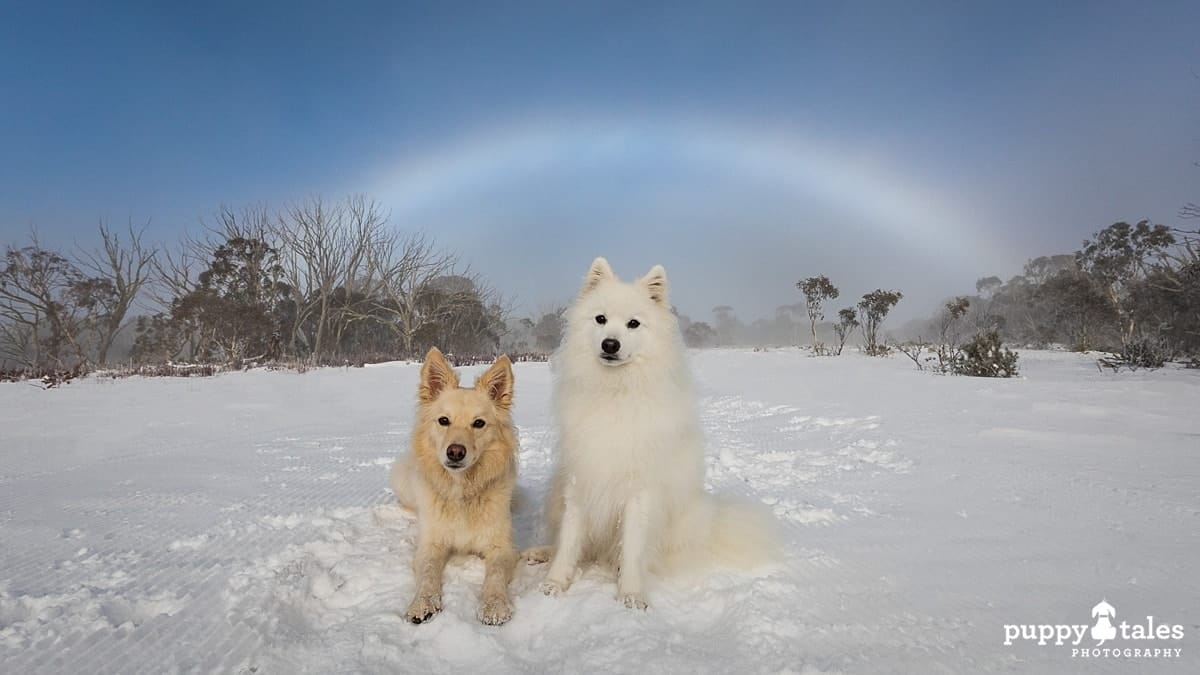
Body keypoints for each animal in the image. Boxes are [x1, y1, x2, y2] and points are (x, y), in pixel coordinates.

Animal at [384, 348, 516, 624]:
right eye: (443, 420)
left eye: (479, 423)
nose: (455, 452)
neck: (461, 491)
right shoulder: (430, 545)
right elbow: (428, 573)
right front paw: (422, 603)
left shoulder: (502, 547)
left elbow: (496, 574)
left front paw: (494, 605)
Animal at [540, 254, 782, 607]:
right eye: (600, 319)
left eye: (633, 324)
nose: (610, 344)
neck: (616, 392)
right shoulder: (580, 479)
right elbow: (569, 540)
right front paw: (555, 582)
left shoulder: (640, 491)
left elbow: (632, 549)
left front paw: (631, 594)